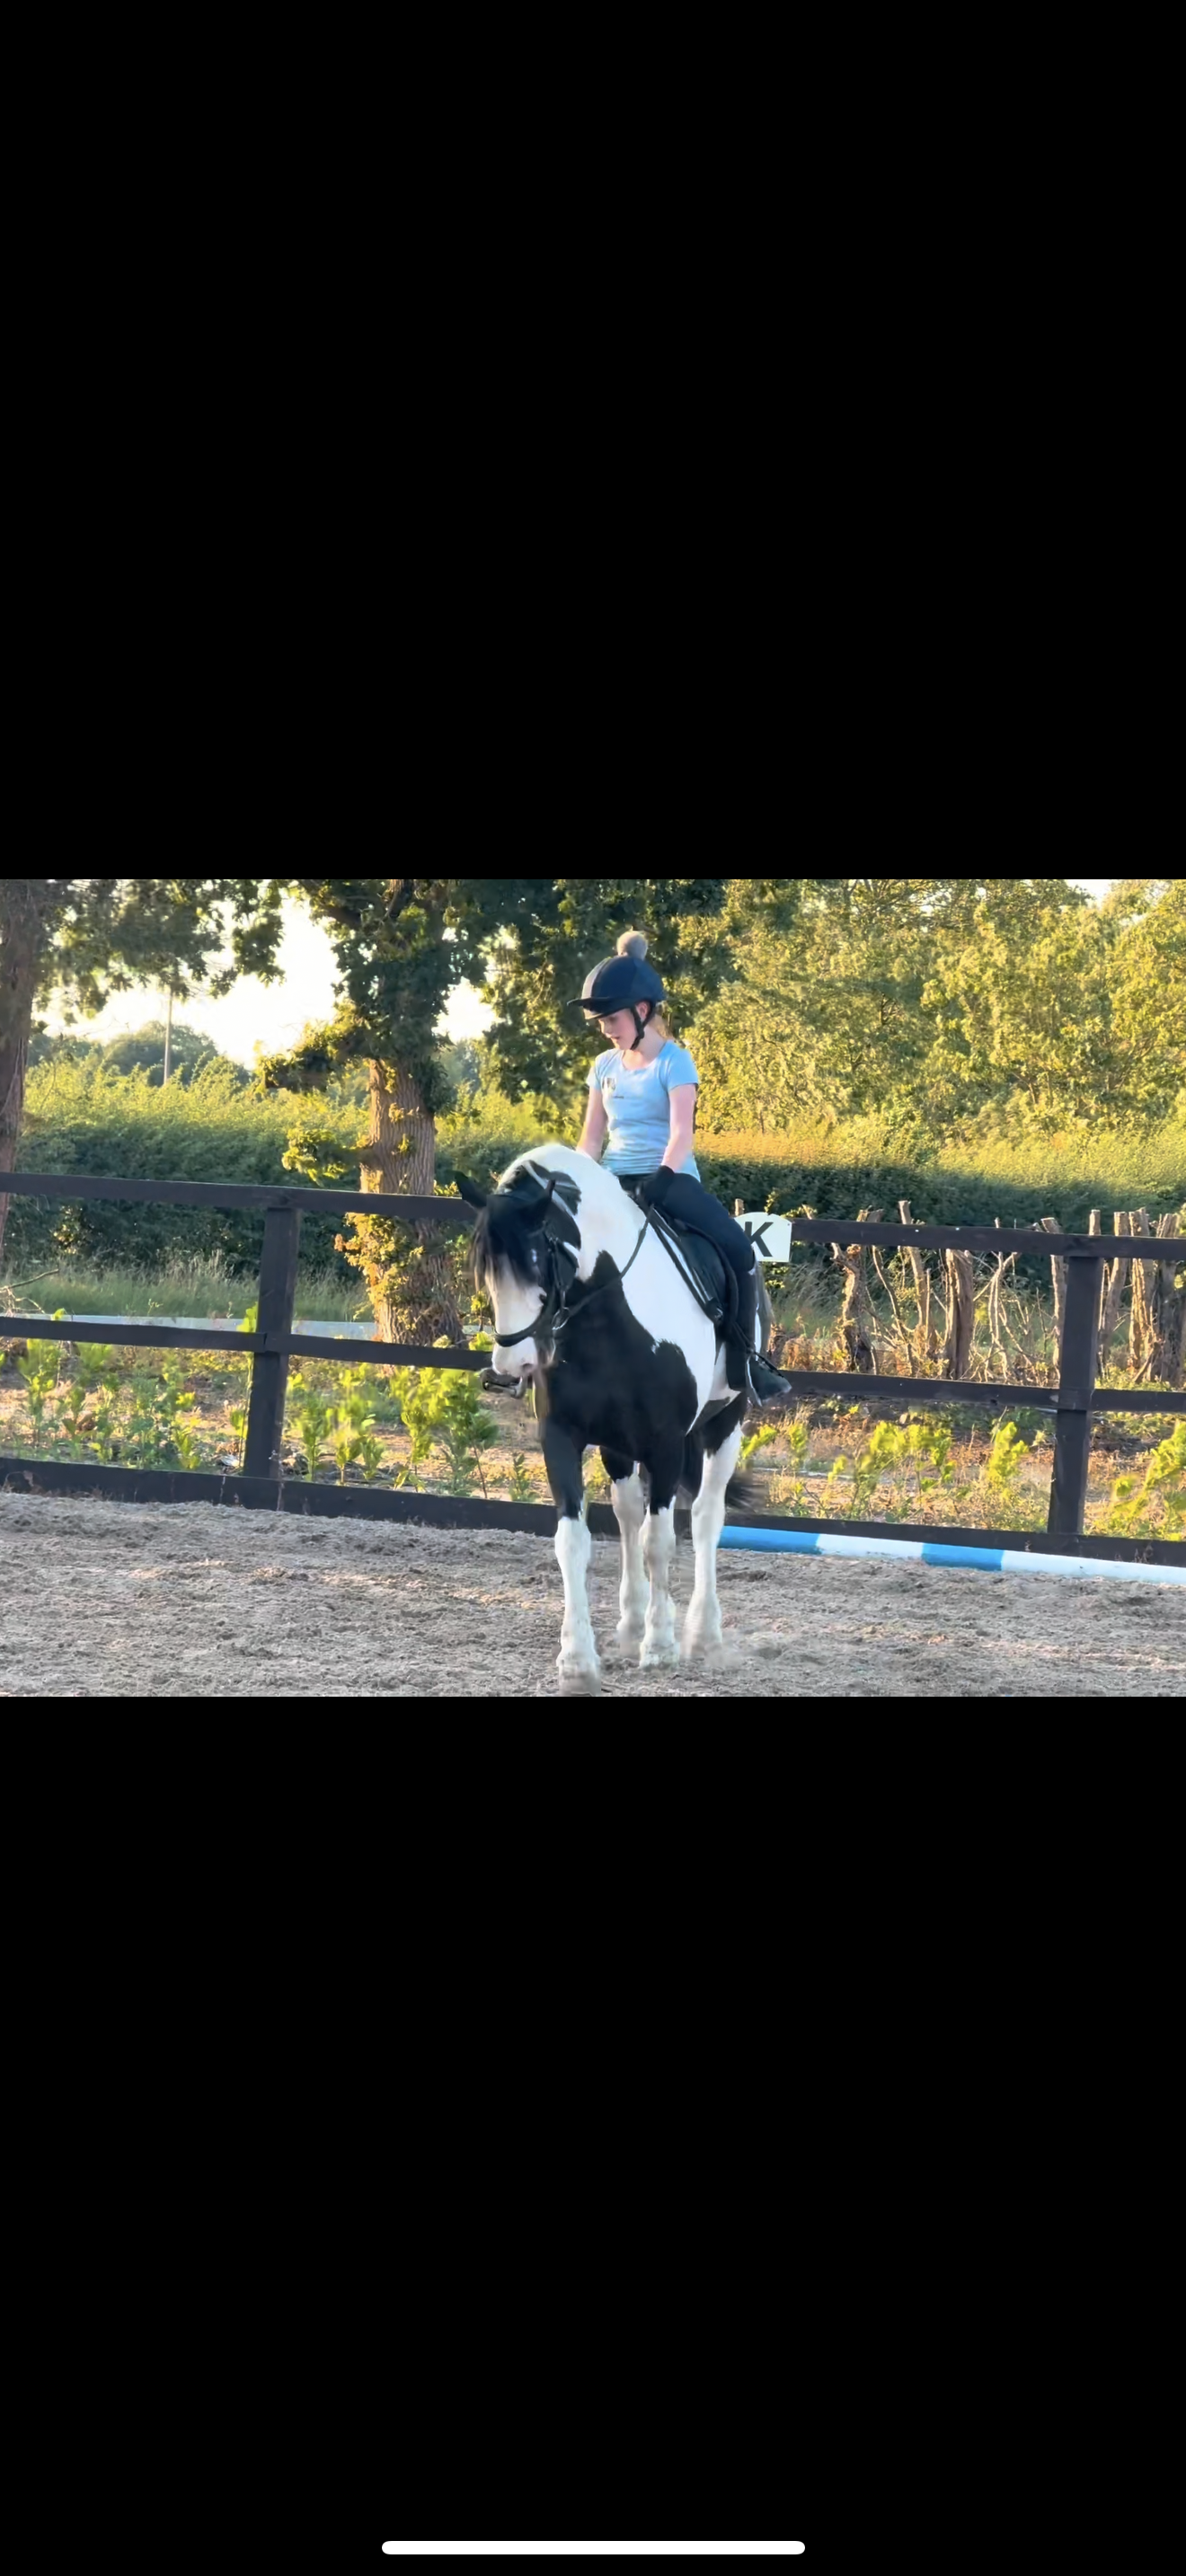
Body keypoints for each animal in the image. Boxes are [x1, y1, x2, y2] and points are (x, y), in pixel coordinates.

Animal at [460, 1144, 753, 1696]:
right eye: (483, 1270)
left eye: (537, 1262)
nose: (511, 1366)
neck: (609, 1317)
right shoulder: (561, 1438)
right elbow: (574, 1542)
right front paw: (577, 1660)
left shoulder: (666, 1445)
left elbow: (661, 1542)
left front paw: (660, 1649)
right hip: (619, 1445)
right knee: (629, 1514)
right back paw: (630, 1626)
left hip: (725, 1423)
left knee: (706, 1517)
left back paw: (702, 1634)